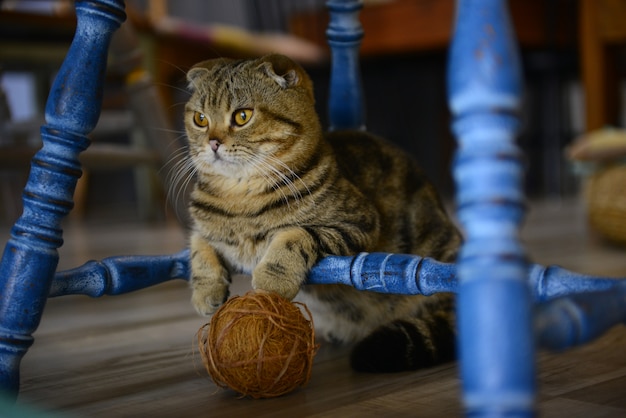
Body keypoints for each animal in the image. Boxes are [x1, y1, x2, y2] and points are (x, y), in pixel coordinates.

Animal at [180, 53, 458, 372]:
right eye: (200, 119)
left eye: (242, 116)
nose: (212, 142)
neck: (238, 198)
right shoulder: (200, 228)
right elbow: (199, 246)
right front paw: (206, 292)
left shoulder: (358, 221)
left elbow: (295, 234)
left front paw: (272, 280)